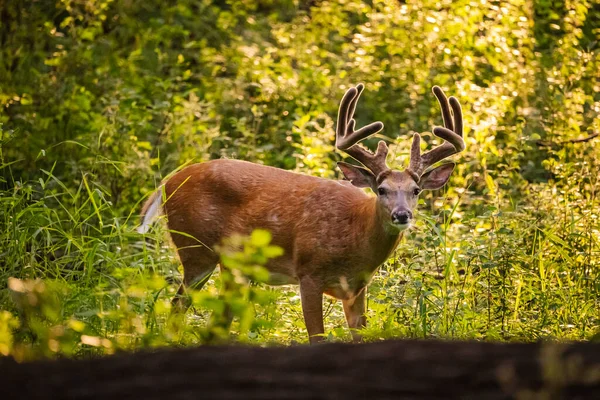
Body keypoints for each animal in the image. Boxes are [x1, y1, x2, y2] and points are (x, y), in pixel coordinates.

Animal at [139, 83, 464, 344]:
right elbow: (317, 339)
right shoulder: (308, 273)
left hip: (232, 266)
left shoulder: (357, 288)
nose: (401, 215)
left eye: (416, 189)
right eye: (381, 189)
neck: (354, 236)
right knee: (177, 308)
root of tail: (166, 183)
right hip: (196, 249)